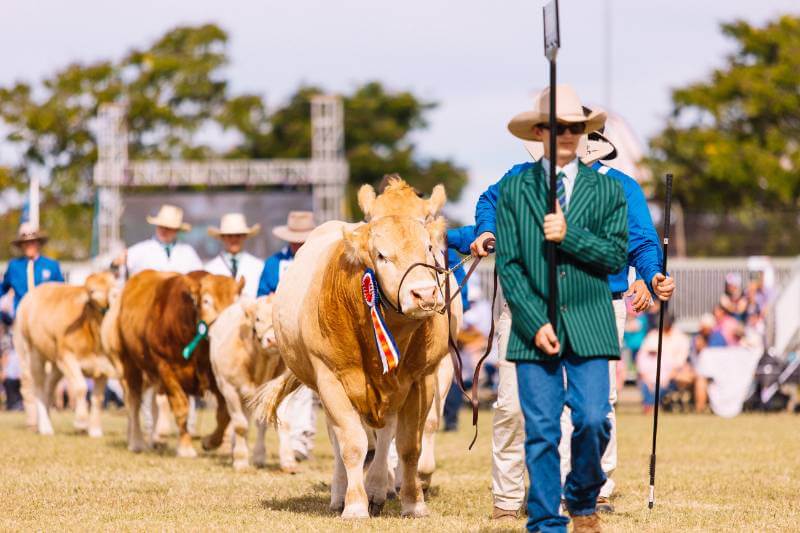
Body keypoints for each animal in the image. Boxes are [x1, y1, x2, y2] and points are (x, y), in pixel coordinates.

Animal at [14, 270, 118, 436]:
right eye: (91, 291)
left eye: (113, 284)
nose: (113, 296)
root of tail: (33, 291)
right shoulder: (67, 357)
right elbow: (81, 388)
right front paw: (81, 422)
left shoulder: (103, 366)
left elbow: (98, 398)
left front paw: (95, 430)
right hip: (34, 355)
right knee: (37, 389)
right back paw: (45, 427)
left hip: (56, 364)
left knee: (48, 388)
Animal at [117, 270, 244, 458]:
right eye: (206, 301)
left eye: (236, 301)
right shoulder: (166, 368)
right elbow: (181, 408)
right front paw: (185, 447)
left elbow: (224, 413)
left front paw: (210, 441)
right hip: (131, 363)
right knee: (134, 401)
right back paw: (137, 442)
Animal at [253, 178, 460, 516]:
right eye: (382, 255)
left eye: (429, 247)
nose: (424, 294)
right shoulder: (331, 379)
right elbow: (351, 444)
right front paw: (354, 505)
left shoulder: (424, 376)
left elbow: (409, 444)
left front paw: (414, 501)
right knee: (341, 440)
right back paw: (342, 492)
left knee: (386, 435)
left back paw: (379, 486)